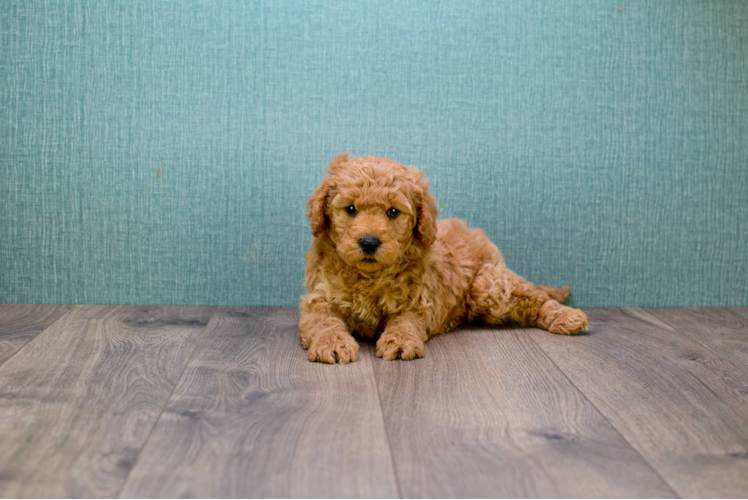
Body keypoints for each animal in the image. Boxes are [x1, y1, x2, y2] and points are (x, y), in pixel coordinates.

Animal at [300, 153, 588, 364]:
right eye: (350, 209)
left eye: (393, 212)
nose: (369, 242)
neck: (369, 276)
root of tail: (475, 234)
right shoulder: (319, 297)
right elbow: (323, 320)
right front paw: (332, 343)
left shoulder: (418, 301)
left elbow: (405, 321)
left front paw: (400, 341)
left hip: (487, 285)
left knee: (533, 296)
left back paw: (566, 316)